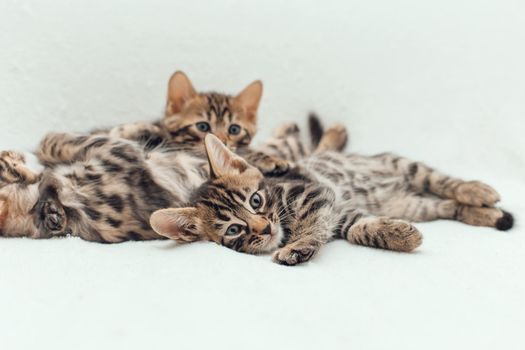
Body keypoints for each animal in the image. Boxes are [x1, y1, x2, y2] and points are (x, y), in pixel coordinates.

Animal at [150, 126, 512, 266]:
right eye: (234, 230)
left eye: (255, 200)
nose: (265, 228)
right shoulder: (341, 213)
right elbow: (359, 230)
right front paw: (399, 235)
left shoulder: (315, 194)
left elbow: (312, 226)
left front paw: (297, 246)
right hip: (414, 205)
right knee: (446, 205)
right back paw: (487, 213)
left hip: (404, 166)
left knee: (445, 183)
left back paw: (478, 191)